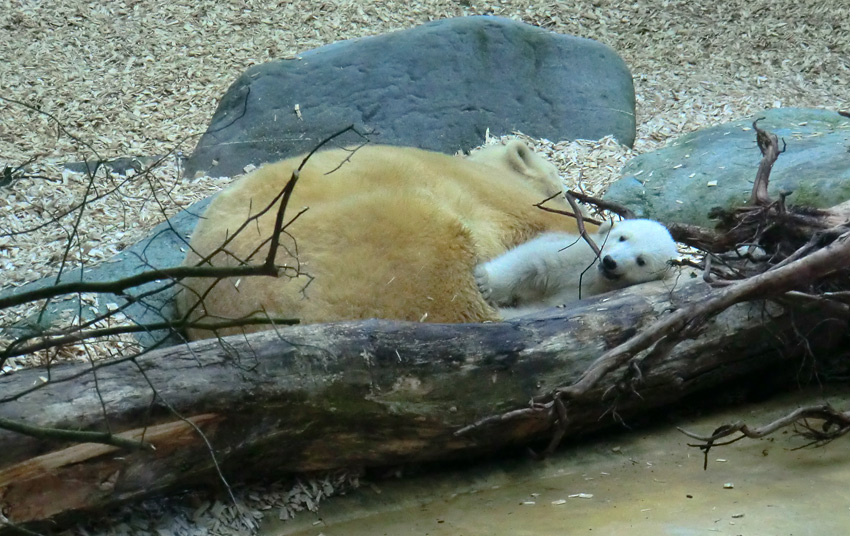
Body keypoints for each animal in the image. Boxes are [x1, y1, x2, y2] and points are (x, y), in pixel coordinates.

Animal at [474, 220, 680, 316]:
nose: (610, 261)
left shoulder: (583, 296)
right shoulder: (575, 254)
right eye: (623, 237)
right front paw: (484, 281)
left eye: (641, 261)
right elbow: (533, 261)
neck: (595, 278)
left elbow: (541, 308)